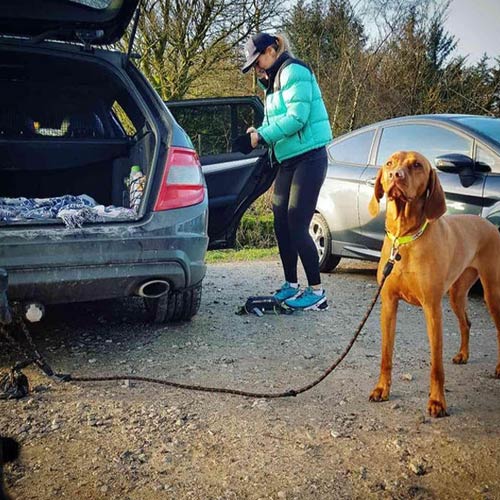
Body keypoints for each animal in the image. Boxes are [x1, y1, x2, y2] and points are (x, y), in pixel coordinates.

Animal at [368, 150, 500, 416]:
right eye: (389, 163)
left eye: (417, 165)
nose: (394, 175)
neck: (405, 238)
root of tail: (489, 224)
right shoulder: (388, 304)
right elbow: (386, 355)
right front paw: (381, 389)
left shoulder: (432, 307)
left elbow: (436, 365)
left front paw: (438, 402)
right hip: (457, 294)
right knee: (466, 323)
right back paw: (463, 354)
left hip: (493, 292)